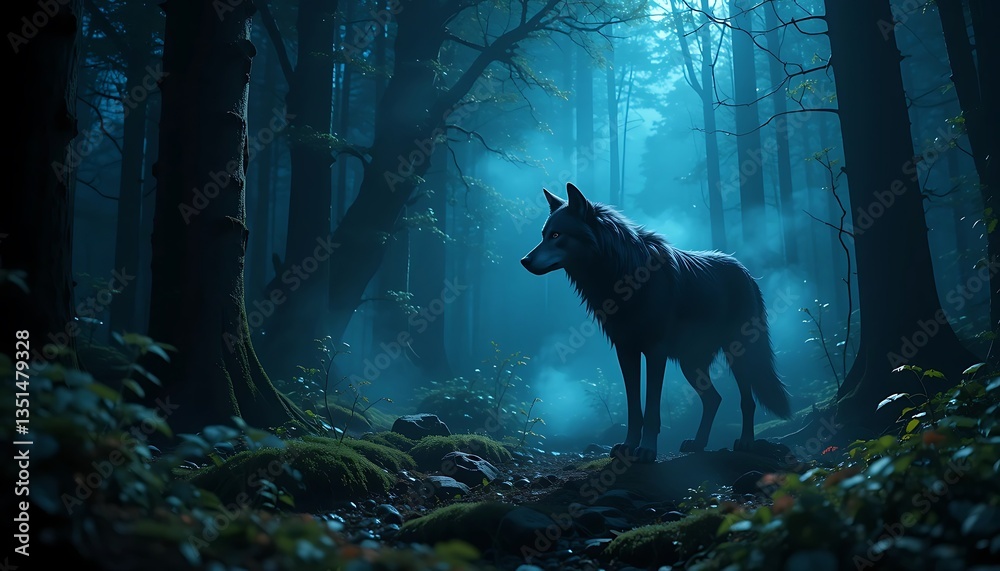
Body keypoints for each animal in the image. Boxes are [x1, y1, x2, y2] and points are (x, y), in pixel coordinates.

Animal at [521, 183, 791, 463]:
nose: (524, 261)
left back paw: (746, 442)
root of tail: (747, 272)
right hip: (690, 364)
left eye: (556, 235)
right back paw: (698, 443)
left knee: (746, 401)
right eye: (543, 235)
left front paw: (647, 450)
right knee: (713, 399)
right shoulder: (625, 351)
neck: (622, 278)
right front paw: (628, 446)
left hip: (739, 354)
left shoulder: (655, 351)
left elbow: (651, 409)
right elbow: (633, 409)